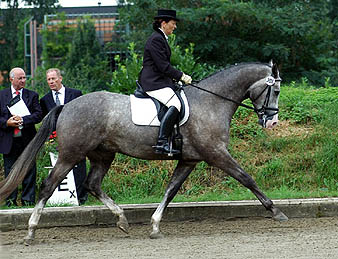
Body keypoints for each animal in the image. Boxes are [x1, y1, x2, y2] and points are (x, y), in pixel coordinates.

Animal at [0, 61, 288, 244]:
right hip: (71, 154)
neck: (212, 101)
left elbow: (170, 191)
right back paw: (31, 232)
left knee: (92, 184)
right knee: (49, 185)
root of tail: (66, 106)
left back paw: (122, 220)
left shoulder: (189, 159)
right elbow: (247, 178)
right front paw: (276, 212)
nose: (272, 123)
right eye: (275, 89)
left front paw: (155, 225)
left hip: (102, 155)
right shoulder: (216, 153)